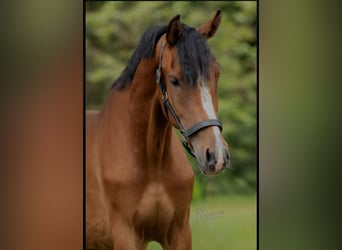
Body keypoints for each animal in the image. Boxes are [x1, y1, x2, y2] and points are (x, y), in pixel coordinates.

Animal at [86, 10, 230, 250]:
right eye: (174, 80)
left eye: (216, 75)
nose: (216, 156)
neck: (152, 163)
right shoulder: (127, 236)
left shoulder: (179, 234)